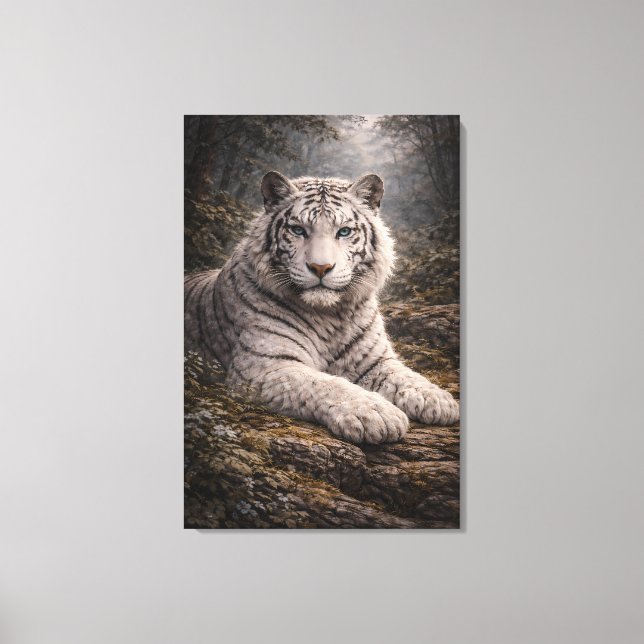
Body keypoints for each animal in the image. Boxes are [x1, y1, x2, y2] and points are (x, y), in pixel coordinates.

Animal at [185, 171, 459, 444]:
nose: (321, 267)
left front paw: (438, 399)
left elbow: (405, 375)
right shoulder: (265, 365)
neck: (330, 315)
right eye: (298, 230)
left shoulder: (375, 360)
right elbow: (327, 384)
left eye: (344, 232)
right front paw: (377, 414)